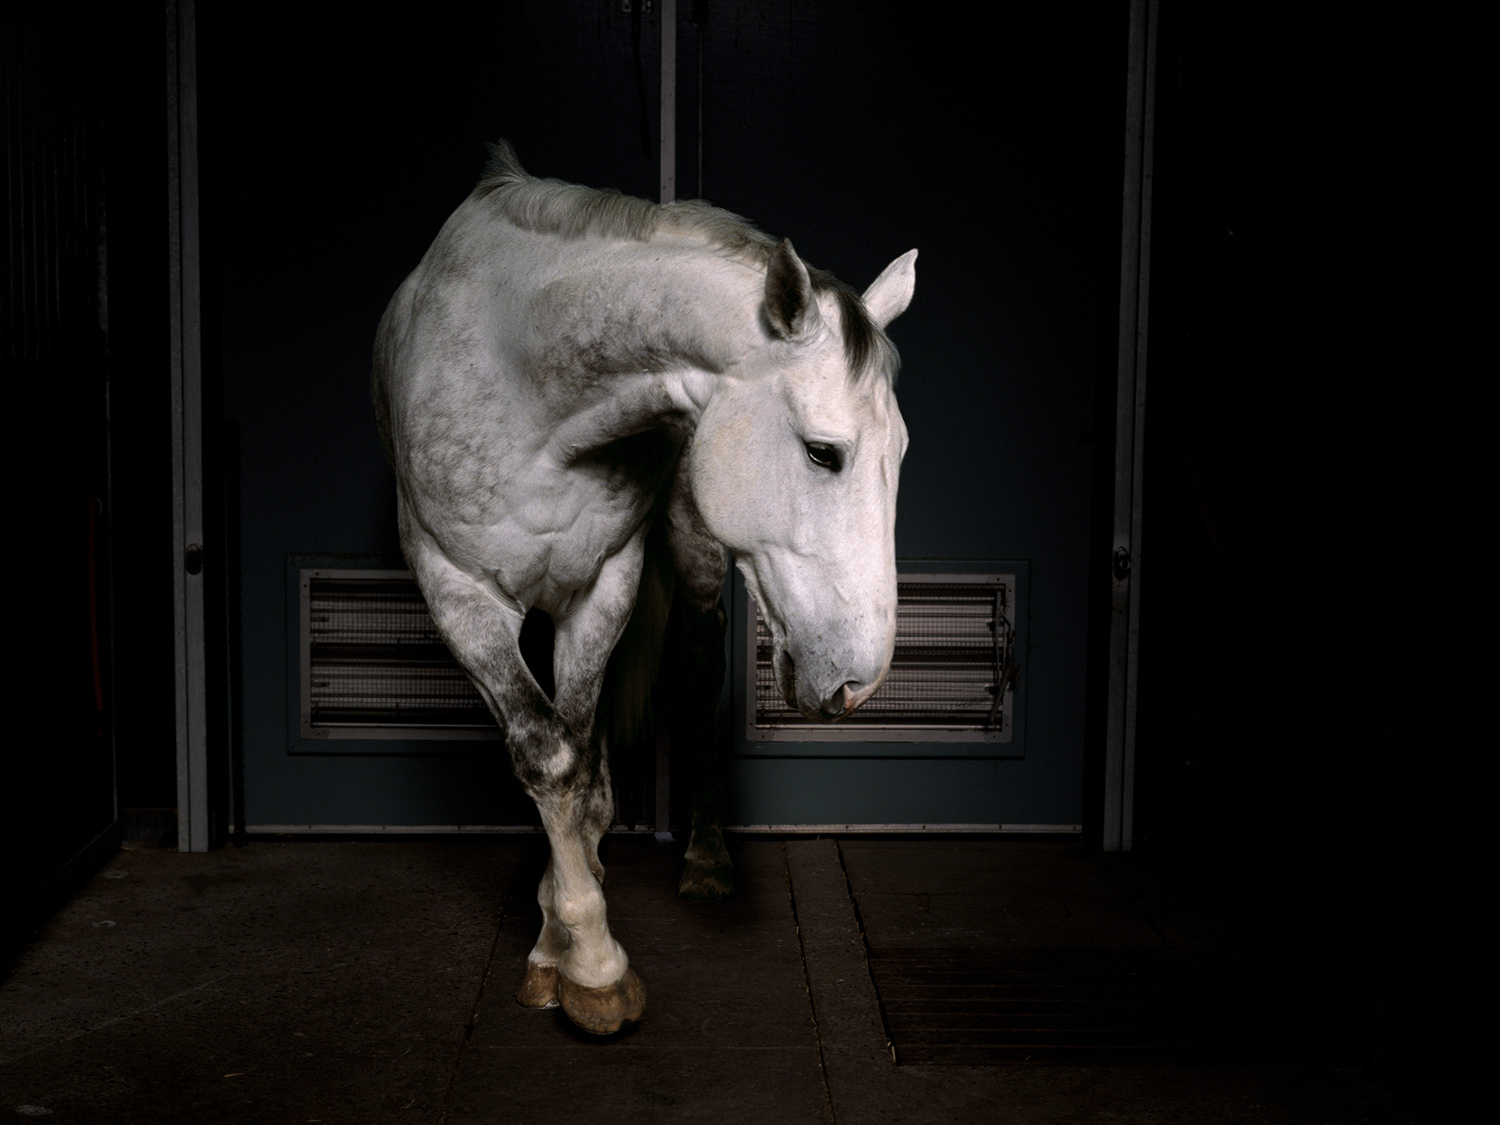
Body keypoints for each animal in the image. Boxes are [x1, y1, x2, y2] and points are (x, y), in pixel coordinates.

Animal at [372, 141, 916, 1035]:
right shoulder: (457, 591)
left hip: (691, 555)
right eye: (823, 451)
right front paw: (582, 954)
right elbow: (552, 756)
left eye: (899, 452)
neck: (527, 380)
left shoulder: (604, 583)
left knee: (694, 671)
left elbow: (583, 769)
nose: (860, 679)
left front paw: (569, 941)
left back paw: (705, 857)